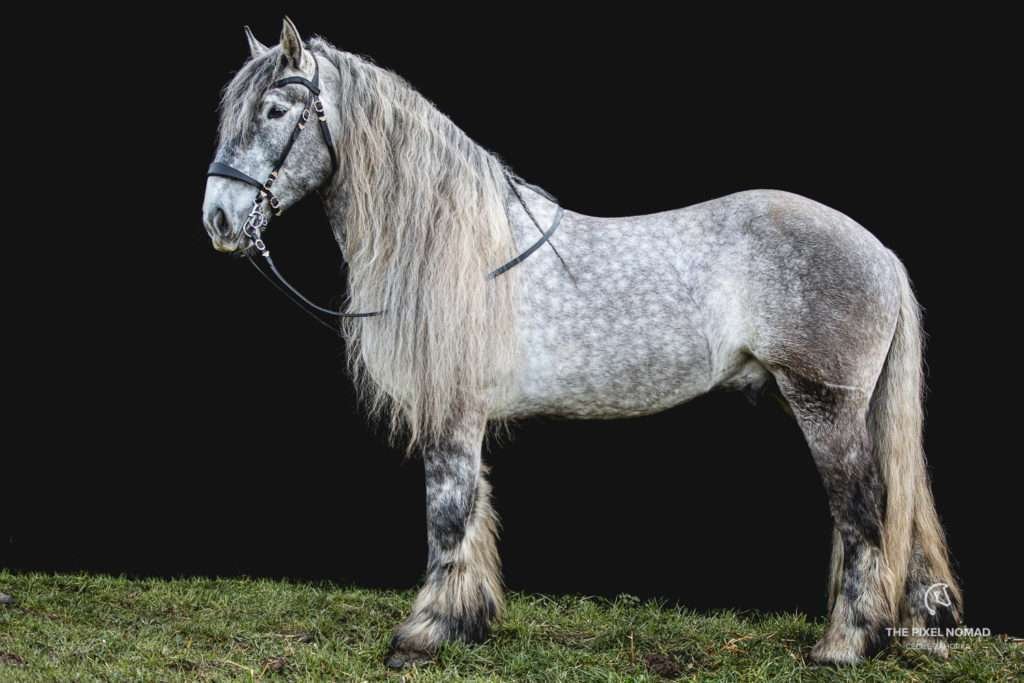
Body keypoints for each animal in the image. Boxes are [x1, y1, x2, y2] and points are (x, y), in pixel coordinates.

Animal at [201, 18, 961, 668]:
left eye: (276, 111)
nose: (219, 219)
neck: (458, 240)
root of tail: (878, 251)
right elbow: (474, 512)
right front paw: (469, 621)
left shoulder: (452, 413)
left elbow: (448, 513)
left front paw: (424, 632)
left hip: (826, 405)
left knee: (863, 512)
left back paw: (844, 644)